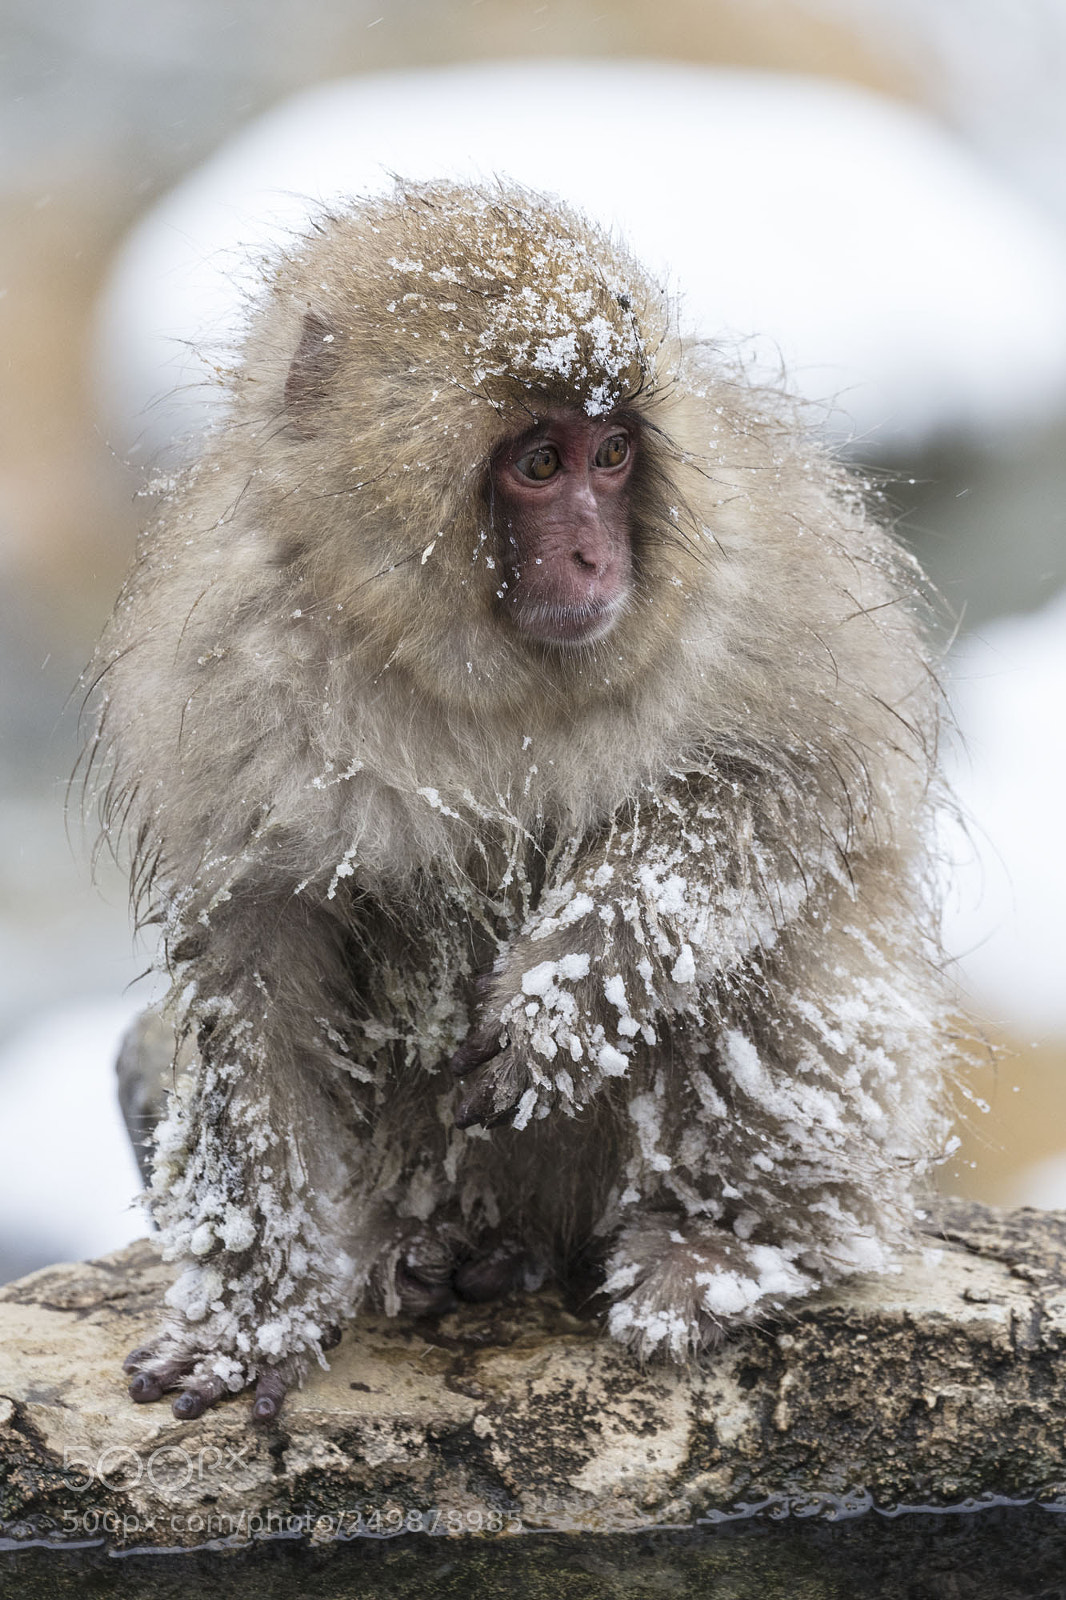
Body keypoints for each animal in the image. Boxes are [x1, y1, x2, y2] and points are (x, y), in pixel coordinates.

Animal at [88, 179, 954, 1423]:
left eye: (613, 453)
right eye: (540, 462)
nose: (598, 561)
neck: (479, 675)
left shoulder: (756, 561)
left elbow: (784, 789)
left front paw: (566, 1002)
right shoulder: (225, 663)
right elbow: (257, 964)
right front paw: (247, 1312)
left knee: (769, 966)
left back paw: (723, 1245)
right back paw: (462, 1249)